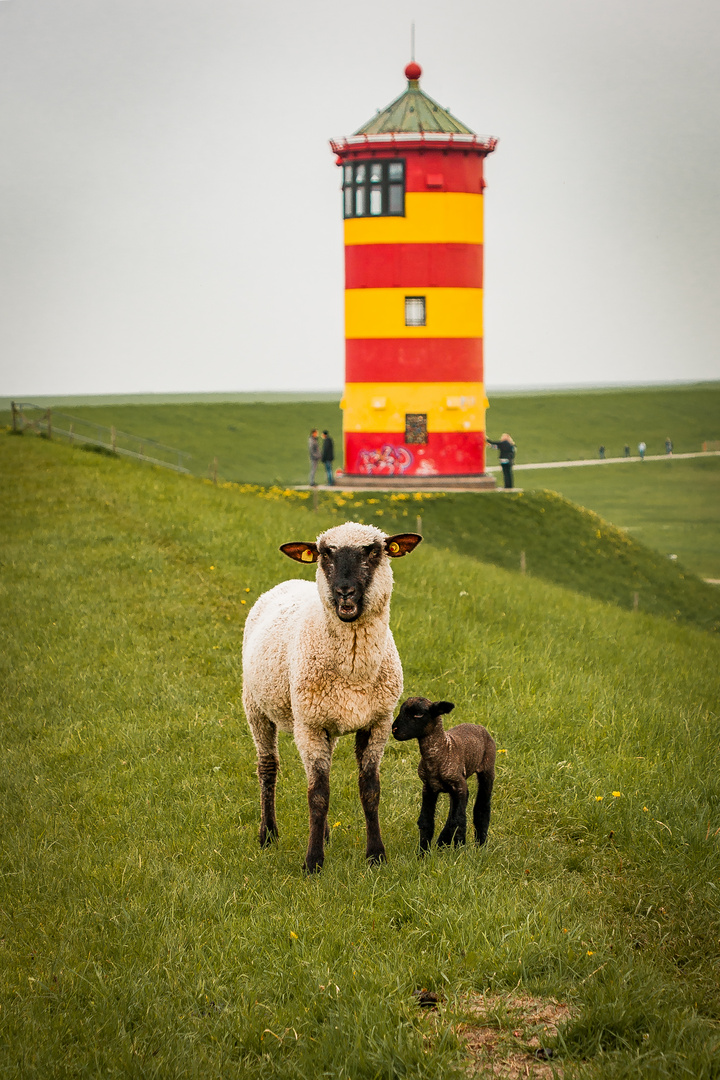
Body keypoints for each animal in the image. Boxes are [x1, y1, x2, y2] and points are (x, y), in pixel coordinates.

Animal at [241, 518, 423, 872]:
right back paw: (268, 834)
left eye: (374, 551)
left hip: (328, 722)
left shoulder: (377, 723)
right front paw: (313, 862)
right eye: (325, 554)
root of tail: (289, 581)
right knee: (268, 768)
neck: (354, 669)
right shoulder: (309, 725)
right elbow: (317, 795)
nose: (344, 592)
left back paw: (323, 833)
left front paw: (376, 855)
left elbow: (370, 789)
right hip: (256, 706)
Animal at [395, 699, 496, 851]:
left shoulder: (459, 785)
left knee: (482, 806)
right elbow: (426, 822)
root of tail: (478, 726)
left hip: (487, 769)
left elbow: (459, 821)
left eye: (418, 714)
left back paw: (480, 844)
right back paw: (443, 842)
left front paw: (459, 851)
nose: (394, 729)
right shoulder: (429, 787)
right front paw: (423, 852)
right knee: (454, 811)